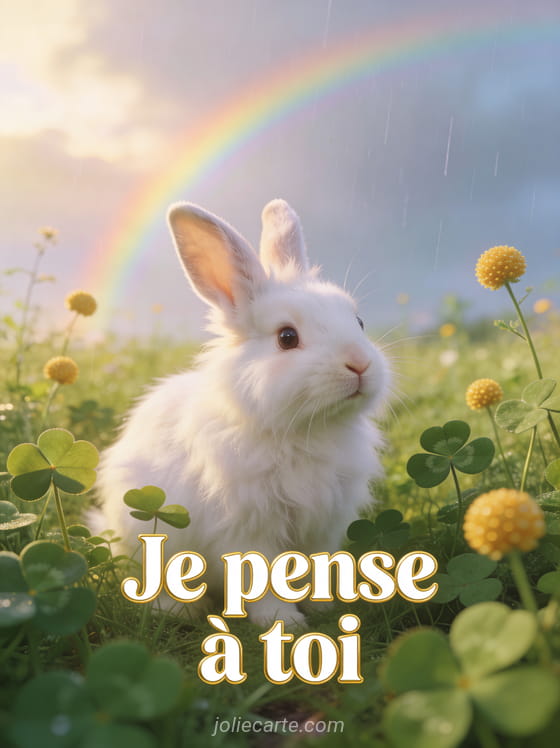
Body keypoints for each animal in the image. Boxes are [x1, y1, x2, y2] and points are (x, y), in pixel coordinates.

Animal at [96, 199, 391, 627]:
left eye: (359, 321)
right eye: (287, 337)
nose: (360, 364)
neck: (304, 431)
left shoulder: (323, 526)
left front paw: (324, 607)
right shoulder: (248, 529)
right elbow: (262, 579)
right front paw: (283, 622)